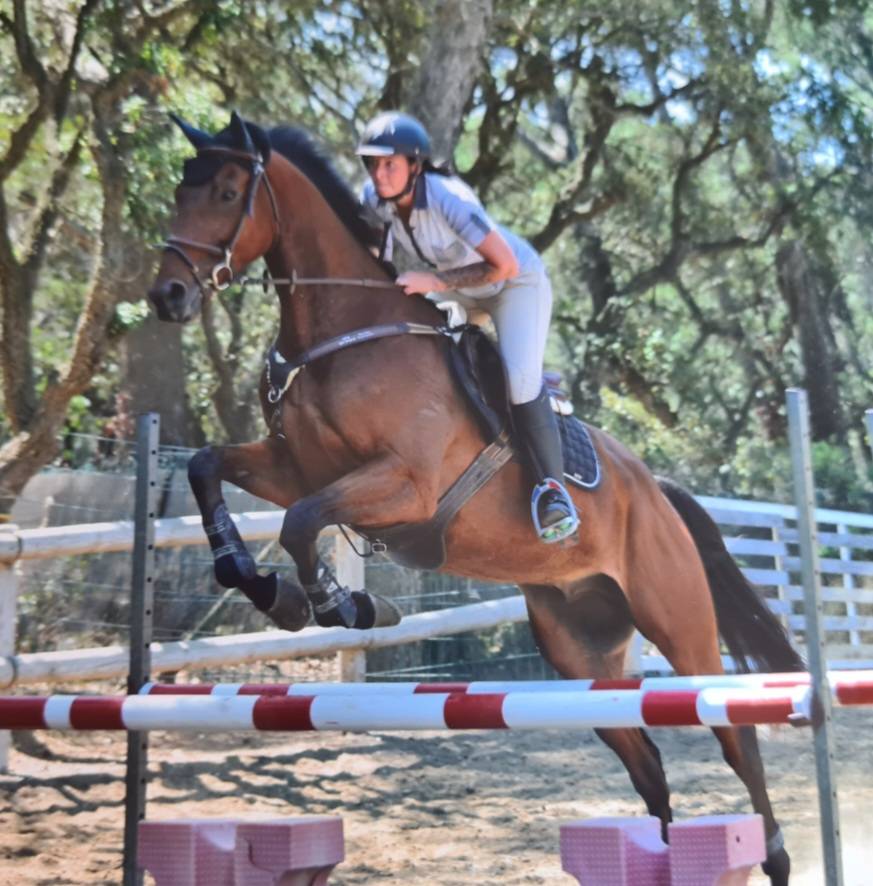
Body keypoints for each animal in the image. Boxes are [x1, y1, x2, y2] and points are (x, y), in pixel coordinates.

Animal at [147, 111, 803, 884]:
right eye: (180, 189)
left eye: (225, 192)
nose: (166, 296)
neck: (340, 332)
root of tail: (659, 494)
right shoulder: (292, 466)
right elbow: (207, 468)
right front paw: (262, 586)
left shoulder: (401, 484)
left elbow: (302, 523)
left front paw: (340, 605)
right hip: (581, 651)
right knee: (647, 764)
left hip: (681, 626)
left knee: (737, 742)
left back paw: (775, 854)